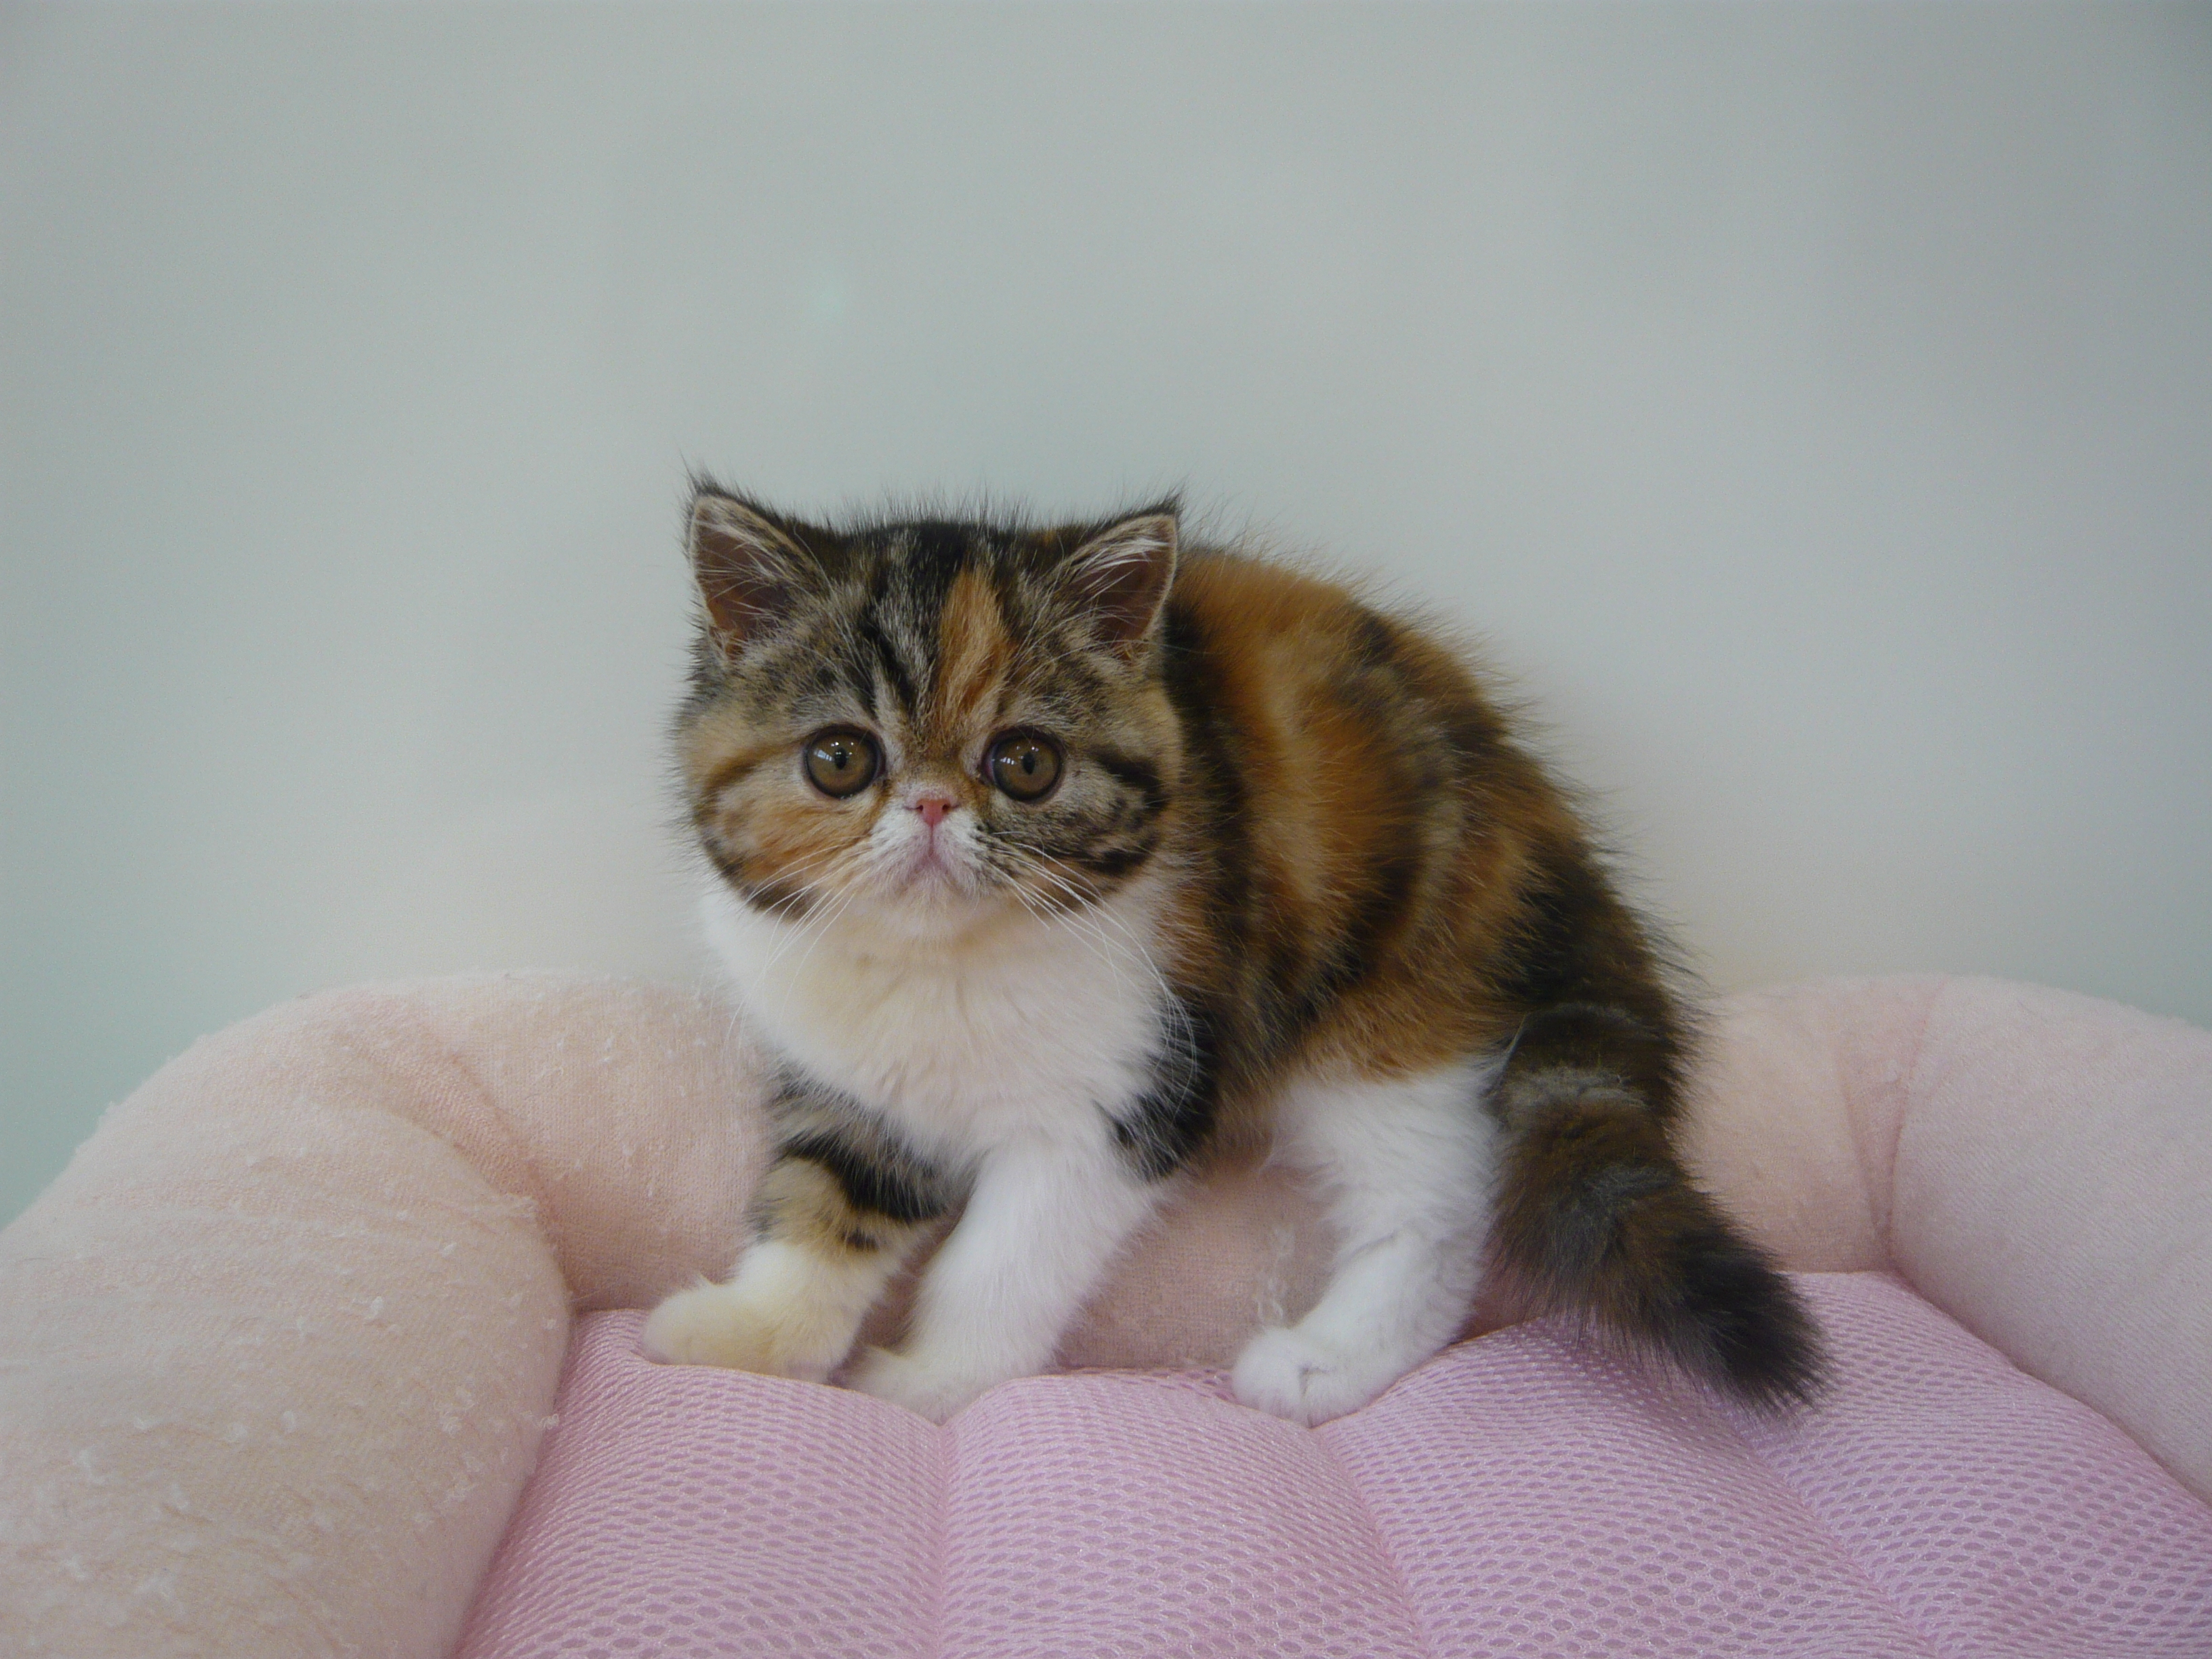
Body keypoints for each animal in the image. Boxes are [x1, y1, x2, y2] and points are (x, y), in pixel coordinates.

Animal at [640, 484, 1823, 1425]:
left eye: (1026, 763)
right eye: (841, 758)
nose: (932, 806)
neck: (943, 964)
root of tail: (1531, 800)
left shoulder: (1133, 1089)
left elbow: (1005, 1259)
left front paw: (933, 1378)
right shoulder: (848, 1079)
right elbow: (824, 1200)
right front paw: (751, 1333)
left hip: (1384, 1000)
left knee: (1439, 1192)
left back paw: (1324, 1362)